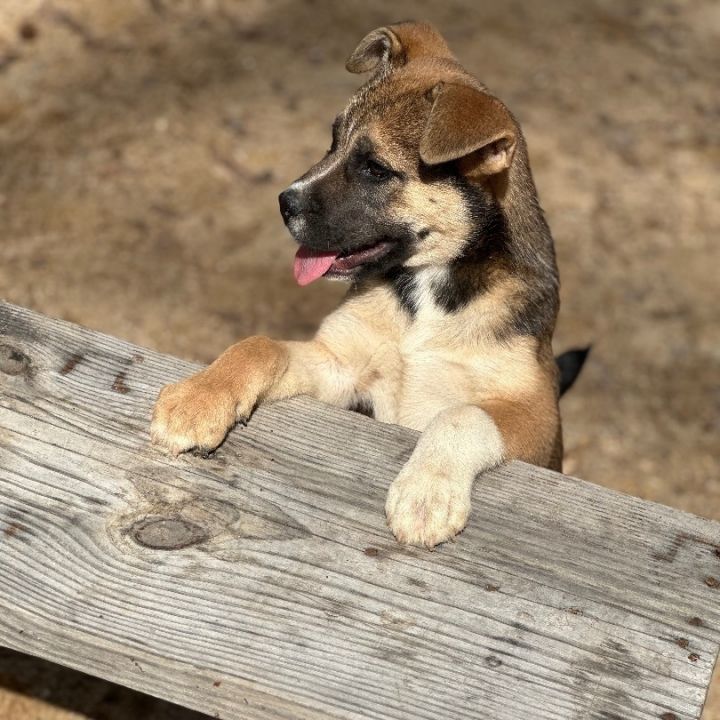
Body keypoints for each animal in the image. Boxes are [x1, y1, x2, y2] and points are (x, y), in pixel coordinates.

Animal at [153, 22, 584, 548]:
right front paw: (199, 399)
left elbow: (461, 415)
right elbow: (260, 346)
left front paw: (426, 492)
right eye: (332, 141)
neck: (426, 296)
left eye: (376, 169)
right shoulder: (343, 370)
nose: (283, 203)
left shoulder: (536, 416)